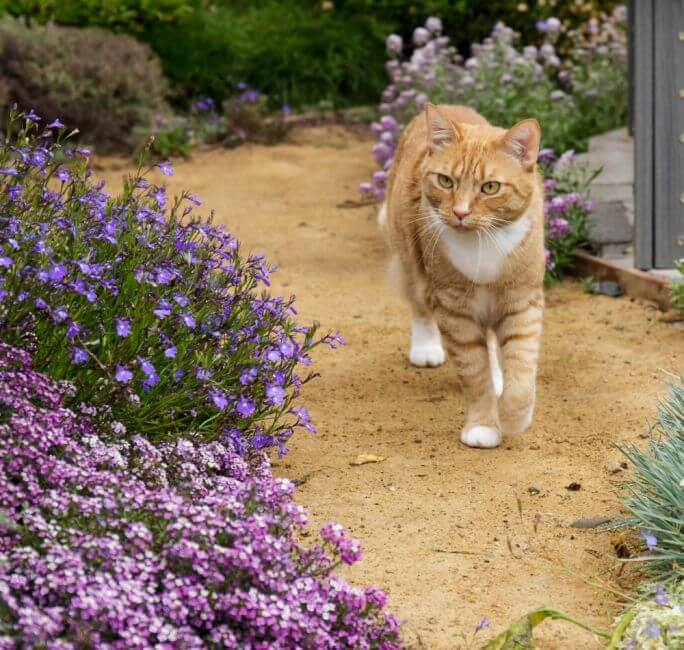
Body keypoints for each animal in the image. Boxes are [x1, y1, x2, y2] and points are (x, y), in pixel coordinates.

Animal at [380, 104, 544, 446]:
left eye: (490, 187)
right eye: (445, 181)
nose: (460, 212)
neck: (483, 241)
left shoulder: (522, 303)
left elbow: (521, 369)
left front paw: (513, 417)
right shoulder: (454, 311)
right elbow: (474, 373)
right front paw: (483, 426)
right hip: (411, 262)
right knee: (419, 305)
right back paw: (426, 348)